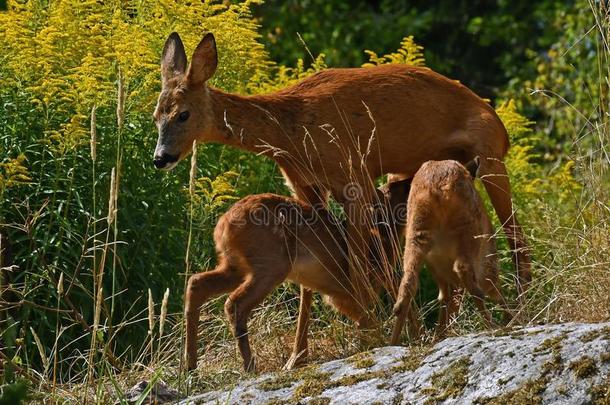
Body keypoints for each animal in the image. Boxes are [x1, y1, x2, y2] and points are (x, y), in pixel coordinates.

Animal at [184, 178, 408, 370]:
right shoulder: (347, 294)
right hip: (271, 265)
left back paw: (191, 367)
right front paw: (379, 343)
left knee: (196, 283)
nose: (409, 179)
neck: (379, 243)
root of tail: (223, 225)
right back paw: (250, 368)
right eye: (399, 191)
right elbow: (367, 322)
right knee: (234, 303)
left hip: (235, 266)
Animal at [388, 158, 506, 344]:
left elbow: (445, 297)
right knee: (466, 272)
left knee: (407, 285)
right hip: (468, 231)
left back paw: (395, 342)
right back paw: (494, 325)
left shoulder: (438, 268)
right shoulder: (487, 260)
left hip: (416, 234)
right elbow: (493, 288)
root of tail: (437, 187)